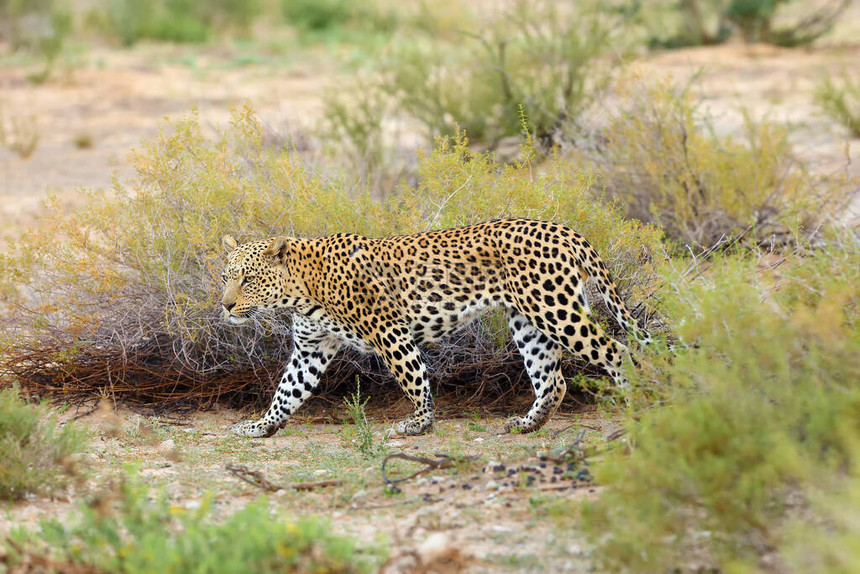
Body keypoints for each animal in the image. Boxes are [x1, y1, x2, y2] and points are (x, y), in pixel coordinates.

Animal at [222, 218, 652, 438]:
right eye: (227, 277)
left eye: (248, 279)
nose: (225, 306)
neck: (301, 291)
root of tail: (564, 229)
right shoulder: (311, 347)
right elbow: (287, 392)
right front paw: (260, 426)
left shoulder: (389, 330)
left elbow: (413, 377)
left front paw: (418, 423)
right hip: (528, 321)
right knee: (553, 379)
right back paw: (527, 424)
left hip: (555, 310)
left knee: (618, 351)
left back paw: (635, 408)